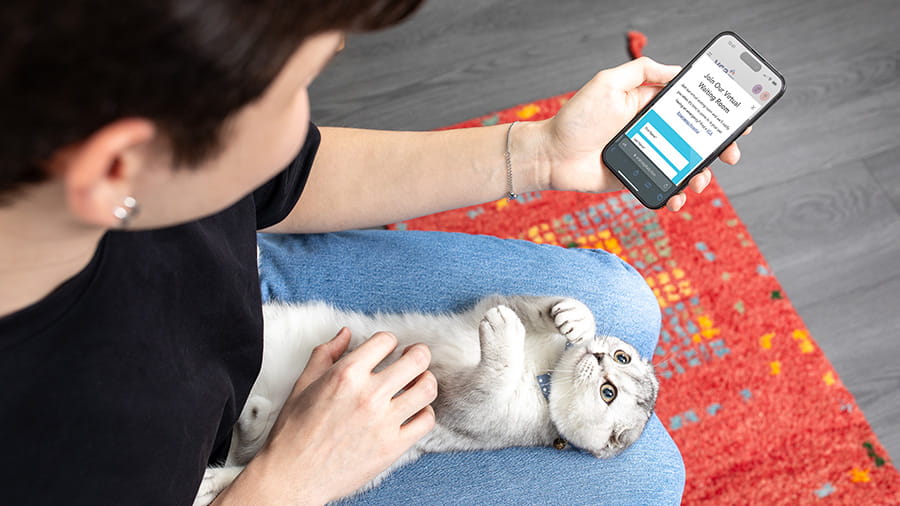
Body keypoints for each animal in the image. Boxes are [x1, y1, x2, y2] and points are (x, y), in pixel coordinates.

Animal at [193, 294, 656, 504]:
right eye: (622, 356)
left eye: (609, 393)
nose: (599, 358)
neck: (540, 372)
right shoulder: (487, 307)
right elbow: (523, 304)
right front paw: (574, 318)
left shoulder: (474, 411)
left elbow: (488, 384)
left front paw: (505, 335)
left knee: (249, 459)